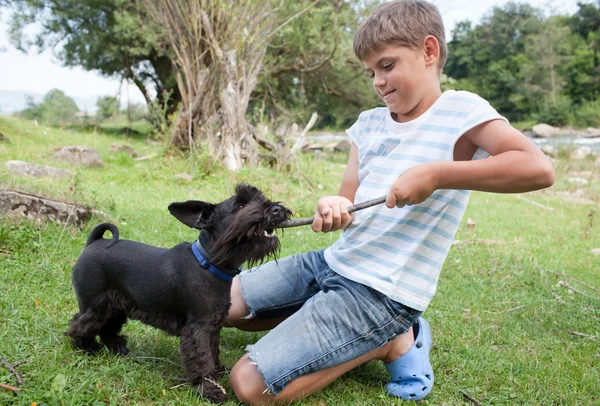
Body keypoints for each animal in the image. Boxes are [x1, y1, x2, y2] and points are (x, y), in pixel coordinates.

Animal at [66, 184, 290, 402]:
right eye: (240, 206)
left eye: (260, 198)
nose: (276, 210)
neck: (209, 263)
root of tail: (93, 242)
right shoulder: (198, 328)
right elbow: (203, 358)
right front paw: (210, 389)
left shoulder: (212, 325)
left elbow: (213, 351)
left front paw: (218, 372)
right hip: (96, 305)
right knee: (80, 324)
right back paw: (87, 348)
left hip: (115, 307)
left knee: (107, 329)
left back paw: (117, 350)